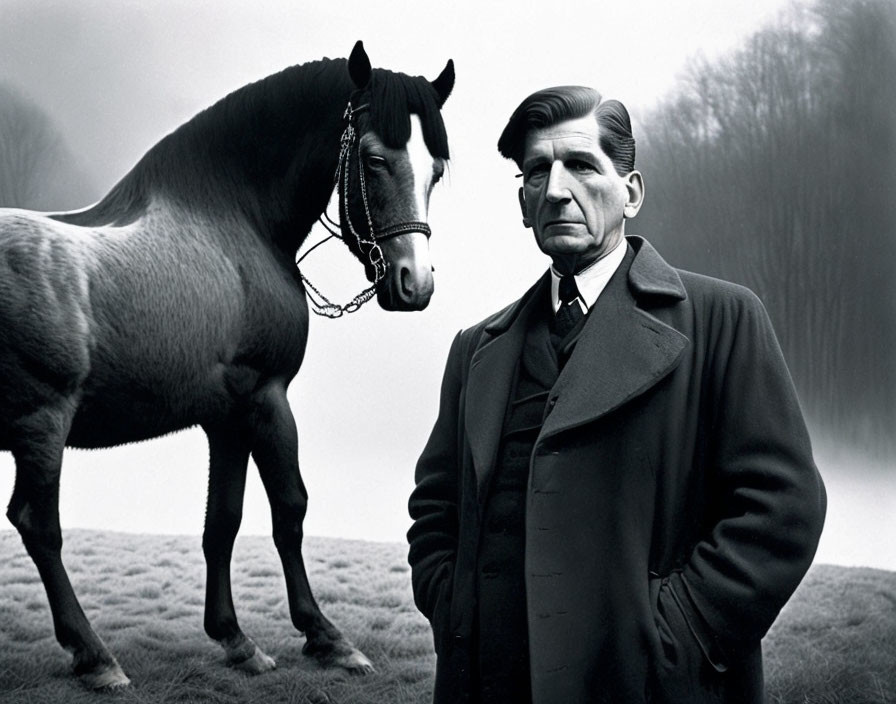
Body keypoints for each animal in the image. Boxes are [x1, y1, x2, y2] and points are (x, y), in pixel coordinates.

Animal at [0, 42, 456, 688]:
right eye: (373, 158)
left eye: (435, 169)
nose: (414, 282)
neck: (233, 218)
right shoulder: (264, 398)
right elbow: (289, 508)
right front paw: (327, 637)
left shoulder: (224, 417)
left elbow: (224, 520)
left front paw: (235, 639)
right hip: (41, 426)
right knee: (39, 526)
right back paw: (95, 656)